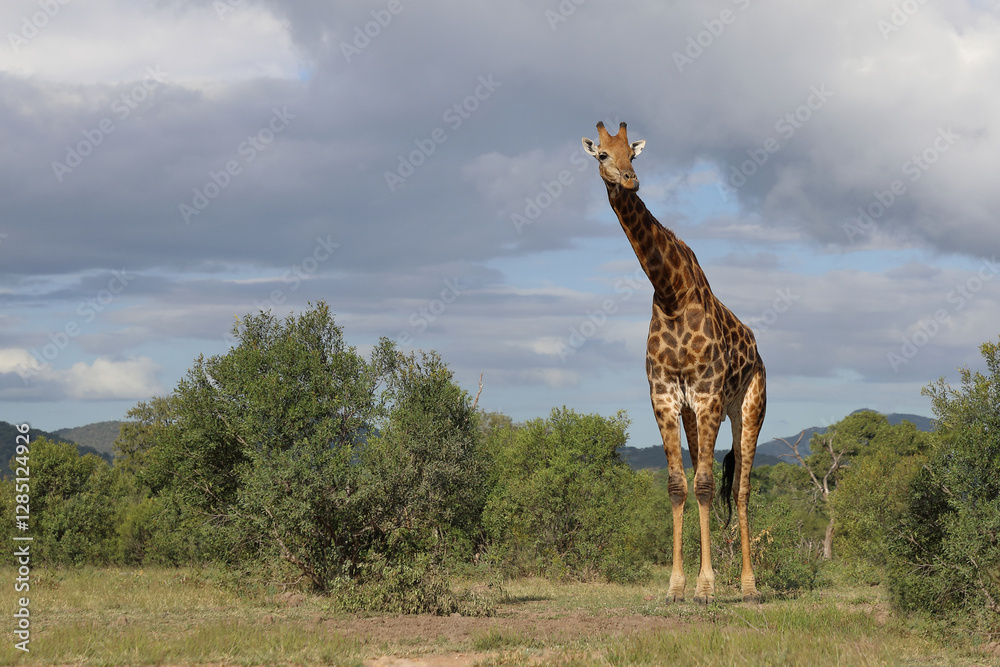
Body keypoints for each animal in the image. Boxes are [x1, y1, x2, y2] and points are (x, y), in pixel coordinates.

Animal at [582, 121, 766, 603]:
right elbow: (678, 485)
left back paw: (749, 586)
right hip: (694, 415)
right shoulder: (665, 398)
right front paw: (677, 585)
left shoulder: (707, 395)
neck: (670, 293)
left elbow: (704, 484)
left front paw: (706, 586)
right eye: (602, 155)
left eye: (633, 154)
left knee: (740, 488)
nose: (630, 180)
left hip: (747, 406)